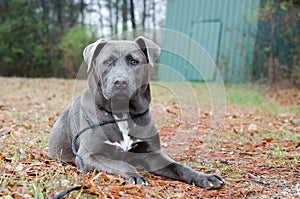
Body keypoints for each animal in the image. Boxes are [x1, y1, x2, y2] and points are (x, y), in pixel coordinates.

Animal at [48, 36, 224, 189]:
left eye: (134, 61)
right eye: (108, 62)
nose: (120, 82)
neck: (122, 114)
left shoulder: (152, 154)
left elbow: (178, 165)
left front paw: (204, 177)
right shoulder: (89, 156)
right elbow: (122, 163)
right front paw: (136, 176)